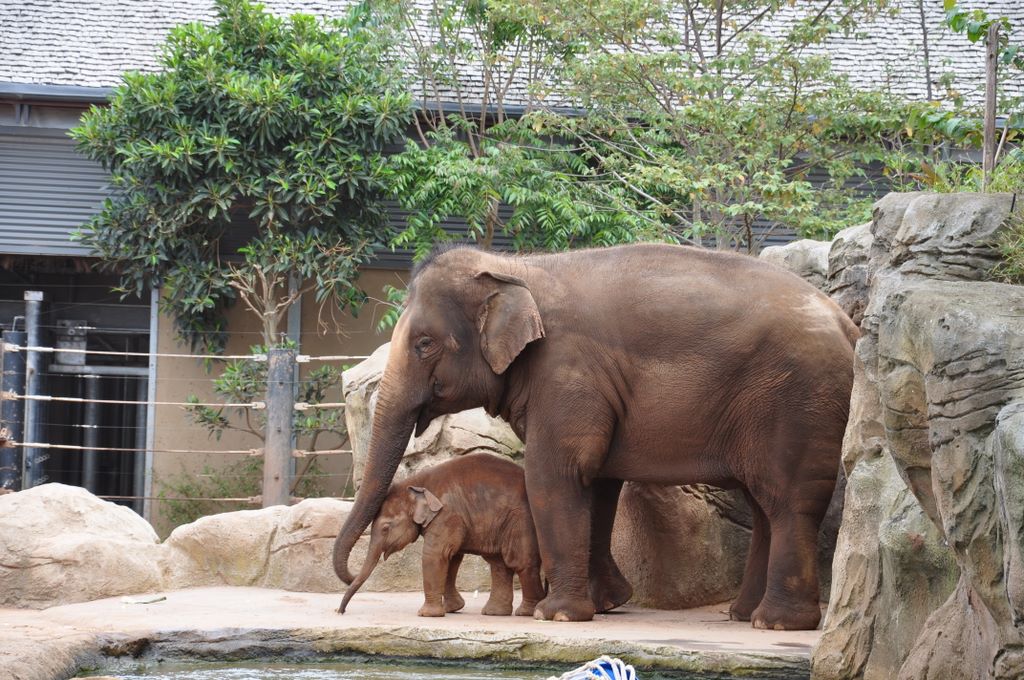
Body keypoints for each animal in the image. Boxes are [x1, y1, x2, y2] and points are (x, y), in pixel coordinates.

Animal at [338, 452, 545, 618]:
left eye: (386, 528)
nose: (340, 611)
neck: (417, 483)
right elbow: (451, 558)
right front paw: (452, 608)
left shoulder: (447, 514)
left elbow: (435, 555)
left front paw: (426, 615)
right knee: (499, 563)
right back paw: (494, 613)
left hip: (521, 520)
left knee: (519, 561)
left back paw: (528, 612)